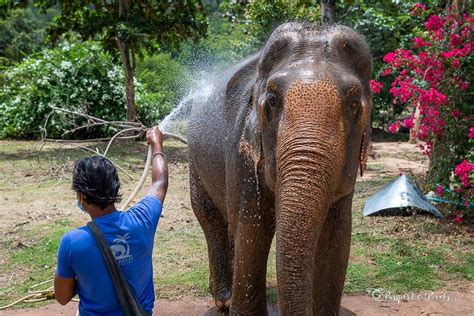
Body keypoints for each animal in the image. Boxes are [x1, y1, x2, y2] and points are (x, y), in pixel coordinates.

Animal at [187, 22, 372, 316]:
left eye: (354, 105)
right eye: (272, 101)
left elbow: (337, 237)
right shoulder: (241, 153)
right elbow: (253, 229)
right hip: (194, 160)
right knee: (211, 217)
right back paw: (224, 300)